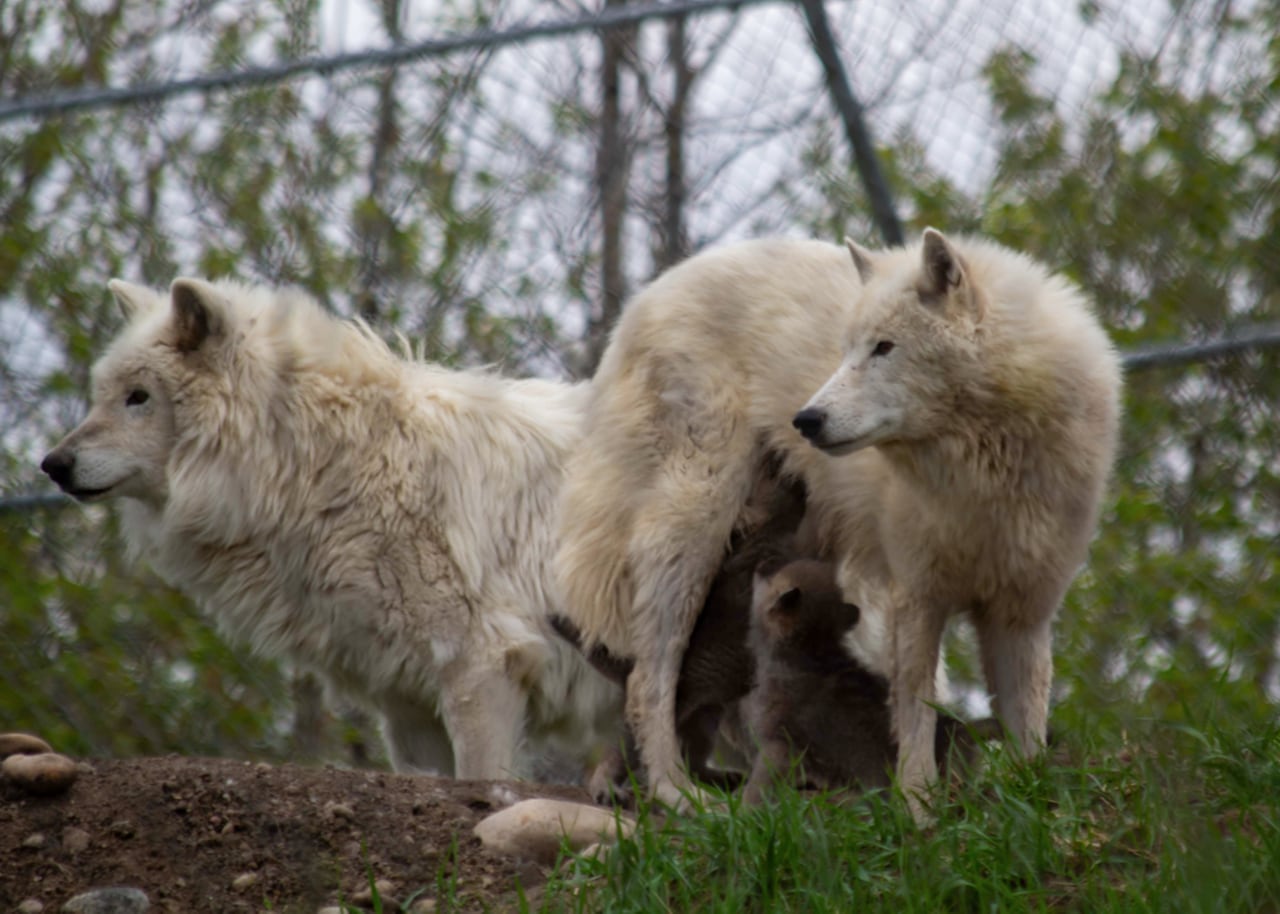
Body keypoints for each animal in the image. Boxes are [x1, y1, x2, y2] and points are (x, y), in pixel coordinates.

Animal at [41, 277, 622, 781]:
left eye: (138, 396)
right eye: (102, 395)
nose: (52, 464)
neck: (328, 467)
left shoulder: (482, 664)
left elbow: (483, 781)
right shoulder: (407, 700)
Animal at [553, 231, 1120, 814]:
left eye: (884, 347)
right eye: (847, 348)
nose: (806, 420)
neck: (984, 475)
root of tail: (648, 294)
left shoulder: (1023, 611)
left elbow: (1027, 722)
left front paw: (1035, 804)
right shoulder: (915, 596)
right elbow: (916, 713)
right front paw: (917, 807)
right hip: (693, 532)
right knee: (647, 681)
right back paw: (675, 793)